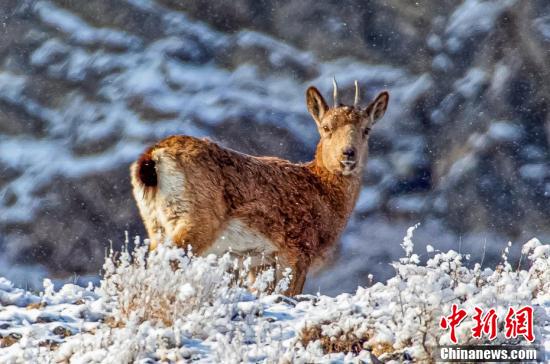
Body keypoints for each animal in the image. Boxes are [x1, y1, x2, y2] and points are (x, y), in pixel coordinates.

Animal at [131, 80, 390, 296]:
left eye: (366, 130)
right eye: (326, 127)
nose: (348, 154)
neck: (323, 194)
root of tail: (152, 158)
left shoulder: (259, 259)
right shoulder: (296, 249)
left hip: (154, 220)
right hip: (196, 217)